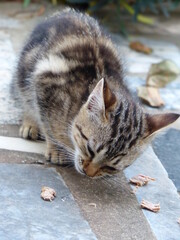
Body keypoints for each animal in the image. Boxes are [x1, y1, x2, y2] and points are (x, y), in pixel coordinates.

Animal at [14, 8, 179, 178]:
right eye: (90, 149)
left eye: (111, 167)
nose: (89, 173)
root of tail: (67, 11)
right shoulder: (44, 82)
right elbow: (47, 124)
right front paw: (57, 149)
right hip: (25, 69)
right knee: (24, 95)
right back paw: (30, 124)